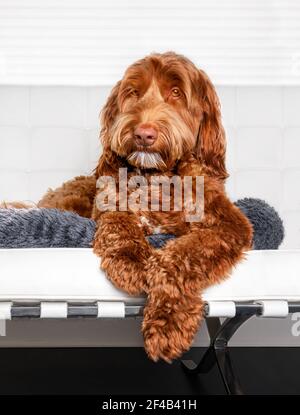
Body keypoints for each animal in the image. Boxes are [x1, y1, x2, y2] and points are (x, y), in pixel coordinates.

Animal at [37, 52, 252, 364]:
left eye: (176, 92)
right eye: (133, 92)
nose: (143, 134)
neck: (156, 176)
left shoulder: (229, 227)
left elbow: (185, 254)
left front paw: (168, 323)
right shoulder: (110, 206)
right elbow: (119, 224)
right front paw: (132, 262)